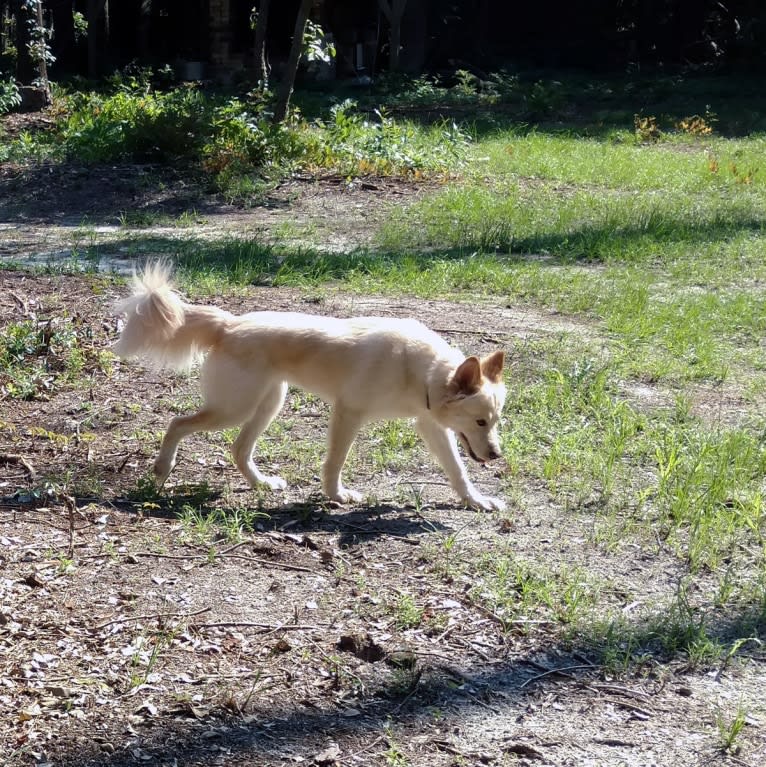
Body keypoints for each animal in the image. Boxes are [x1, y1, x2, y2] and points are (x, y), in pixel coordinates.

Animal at [114, 264, 508, 510]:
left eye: (494, 421)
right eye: (479, 422)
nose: (496, 455)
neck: (422, 370)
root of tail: (230, 323)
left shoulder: (430, 426)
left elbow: (457, 471)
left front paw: (475, 501)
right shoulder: (348, 413)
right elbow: (335, 461)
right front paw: (336, 496)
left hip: (267, 405)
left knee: (239, 450)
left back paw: (261, 484)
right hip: (234, 409)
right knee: (177, 423)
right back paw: (162, 468)